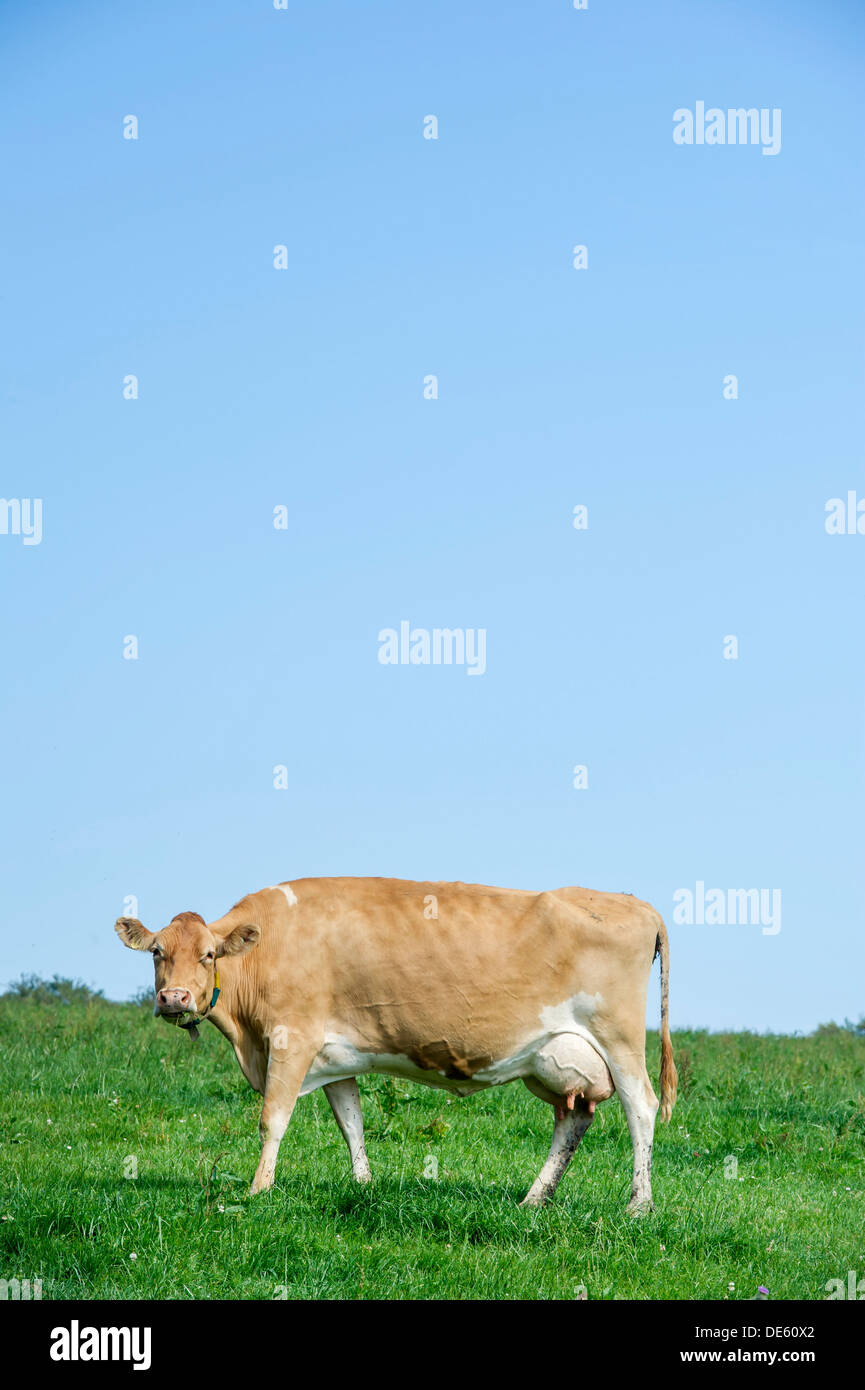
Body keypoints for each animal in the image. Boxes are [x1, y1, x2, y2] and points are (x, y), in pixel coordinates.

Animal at [115, 877, 676, 1211]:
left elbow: (272, 1119)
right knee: (574, 1119)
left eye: (209, 954)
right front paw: (364, 1187)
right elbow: (351, 1122)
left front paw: (258, 1190)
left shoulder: (291, 1039)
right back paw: (534, 1200)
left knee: (641, 1107)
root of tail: (636, 904)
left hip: (620, 1038)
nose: (173, 997)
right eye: (157, 952)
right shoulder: (335, 1055)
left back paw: (639, 1204)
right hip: (554, 1058)